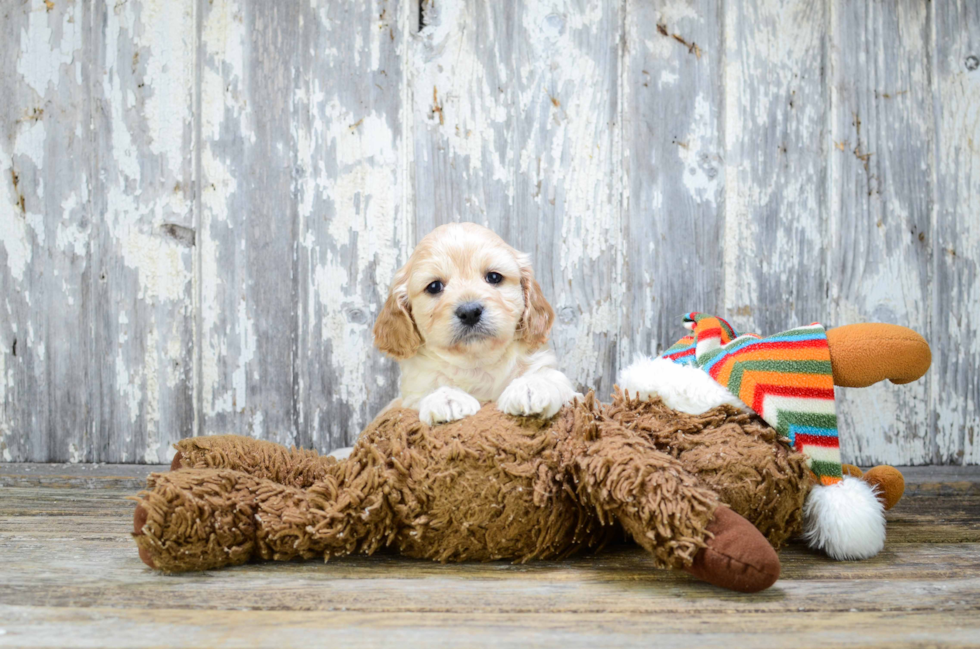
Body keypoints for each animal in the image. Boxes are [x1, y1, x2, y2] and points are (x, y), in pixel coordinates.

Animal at [372, 223, 580, 426]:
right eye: (434, 286)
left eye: (494, 277)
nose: (470, 312)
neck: (477, 363)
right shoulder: (409, 394)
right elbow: (422, 394)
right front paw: (446, 398)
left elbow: (551, 376)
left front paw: (530, 387)